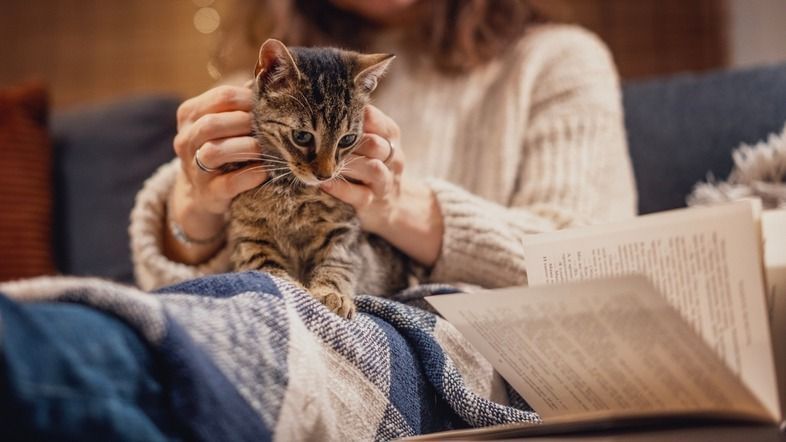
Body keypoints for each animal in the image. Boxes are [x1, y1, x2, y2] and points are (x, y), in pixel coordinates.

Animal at [227, 39, 410, 320]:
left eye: (347, 139)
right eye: (302, 136)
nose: (325, 174)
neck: (294, 190)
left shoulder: (344, 229)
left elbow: (338, 262)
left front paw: (332, 293)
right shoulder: (248, 233)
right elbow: (264, 264)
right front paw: (293, 288)